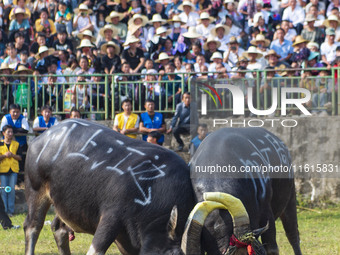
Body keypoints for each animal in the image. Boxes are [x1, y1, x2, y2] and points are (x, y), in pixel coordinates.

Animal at [23, 119, 195, 255]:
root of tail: (41, 138)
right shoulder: (112, 215)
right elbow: (96, 249)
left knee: (58, 228)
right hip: (35, 191)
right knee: (32, 227)